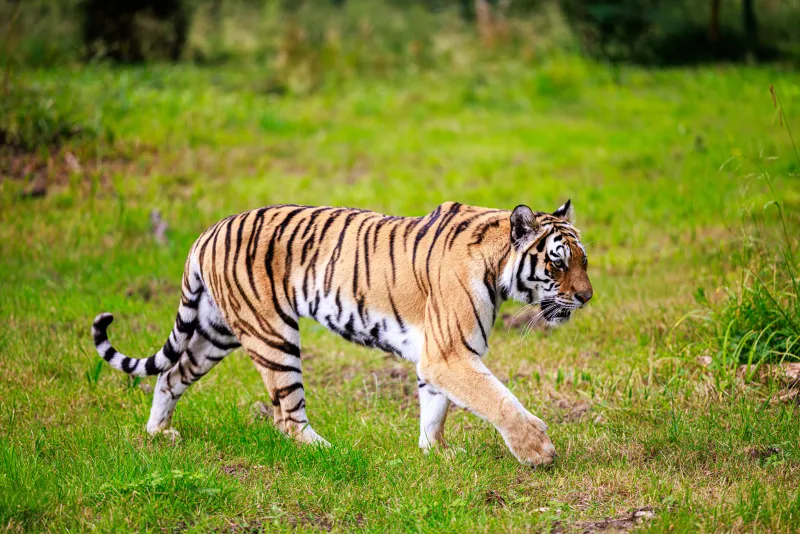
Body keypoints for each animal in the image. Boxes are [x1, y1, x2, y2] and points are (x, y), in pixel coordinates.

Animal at [92, 200, 592, 466]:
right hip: (272, 336)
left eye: (583, 260)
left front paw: (434, 453)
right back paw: (328, 452)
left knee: (170, 374)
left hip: (218, 332)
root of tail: (208, 231)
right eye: (557, 262)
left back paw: (158, 434)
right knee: (286, 416)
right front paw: (538, 449)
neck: (497, 266)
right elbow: (496, 399)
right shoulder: (449, 353)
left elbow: (435, 409)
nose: (587, 297)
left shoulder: (437, 357)